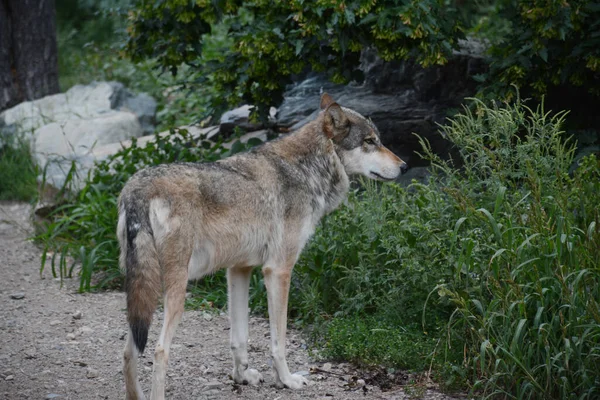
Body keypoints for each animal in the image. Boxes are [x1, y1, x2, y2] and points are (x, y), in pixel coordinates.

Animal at [117, 92, 408, 398]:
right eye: (370, 141)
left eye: (378, 140)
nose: (404, 166)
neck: (307, 169)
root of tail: (137, 189)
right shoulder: (278, 270)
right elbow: (278, 341)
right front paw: (287, 380)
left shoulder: (239, 270)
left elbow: (239, 338)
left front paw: (241, 376)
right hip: (175, 289)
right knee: (159, 351)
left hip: (143, 294)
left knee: (129, 351)